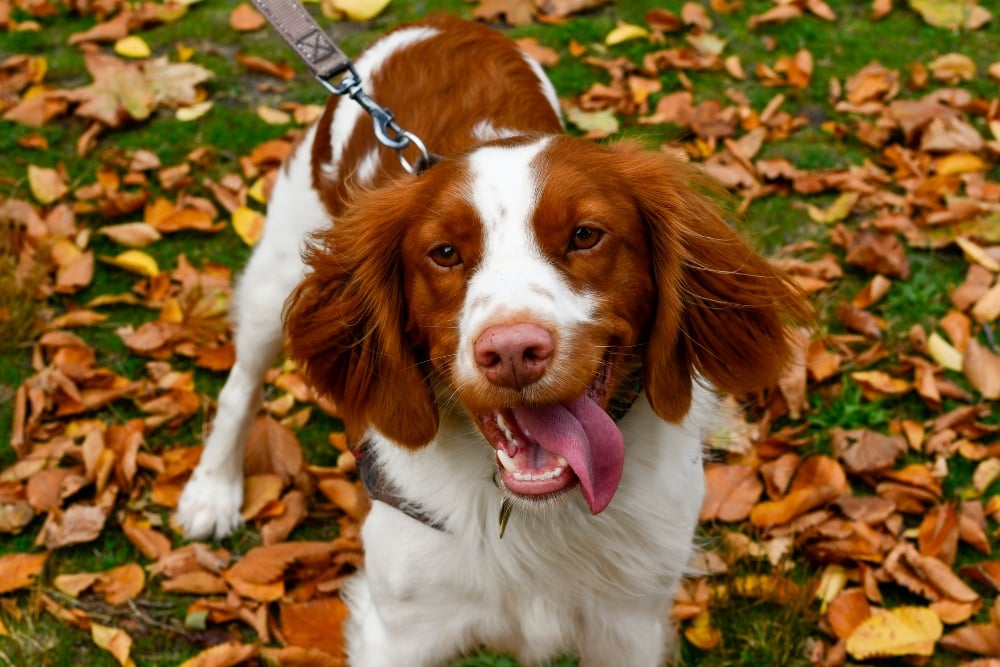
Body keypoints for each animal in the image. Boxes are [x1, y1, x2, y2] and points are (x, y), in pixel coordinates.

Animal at [176, 13, 808, 664]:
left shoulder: (628, 627)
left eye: (586, 235)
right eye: (444, 253)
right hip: (276, 279)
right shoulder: (399, 631)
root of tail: (439, 21)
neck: (534, 512)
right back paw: (213, 491)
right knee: (242, 385)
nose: (511, 353)